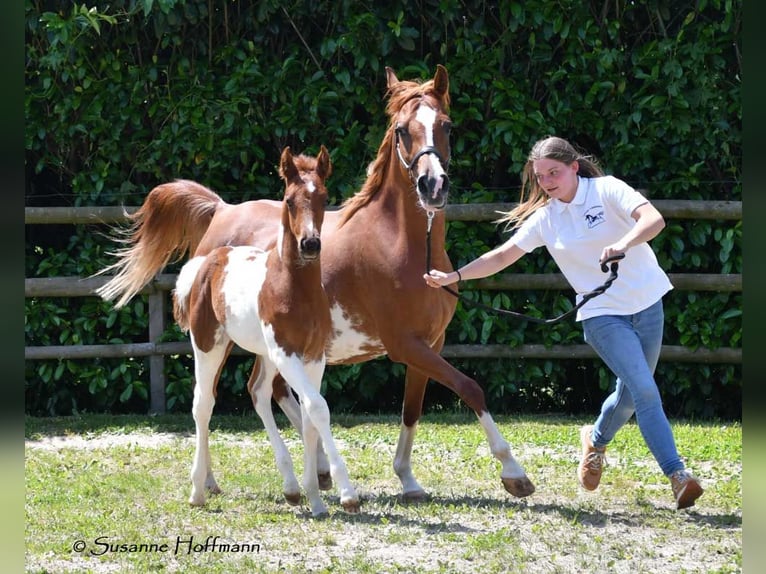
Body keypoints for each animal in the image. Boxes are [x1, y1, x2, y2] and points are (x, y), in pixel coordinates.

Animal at [172, 145, 360, 516]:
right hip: (210, 345)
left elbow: (310, 413)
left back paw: (291, 488)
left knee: (257, 390)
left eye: (324, 197)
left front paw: (316, 497)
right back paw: (199, 490)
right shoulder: (287, 353)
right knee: (203, 403)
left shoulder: (314, 356)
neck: (294, 288)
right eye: (288, 200)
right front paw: (347, 493)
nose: (310, 244)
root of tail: (209, 260)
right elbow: (318, 407)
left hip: (264, 353)